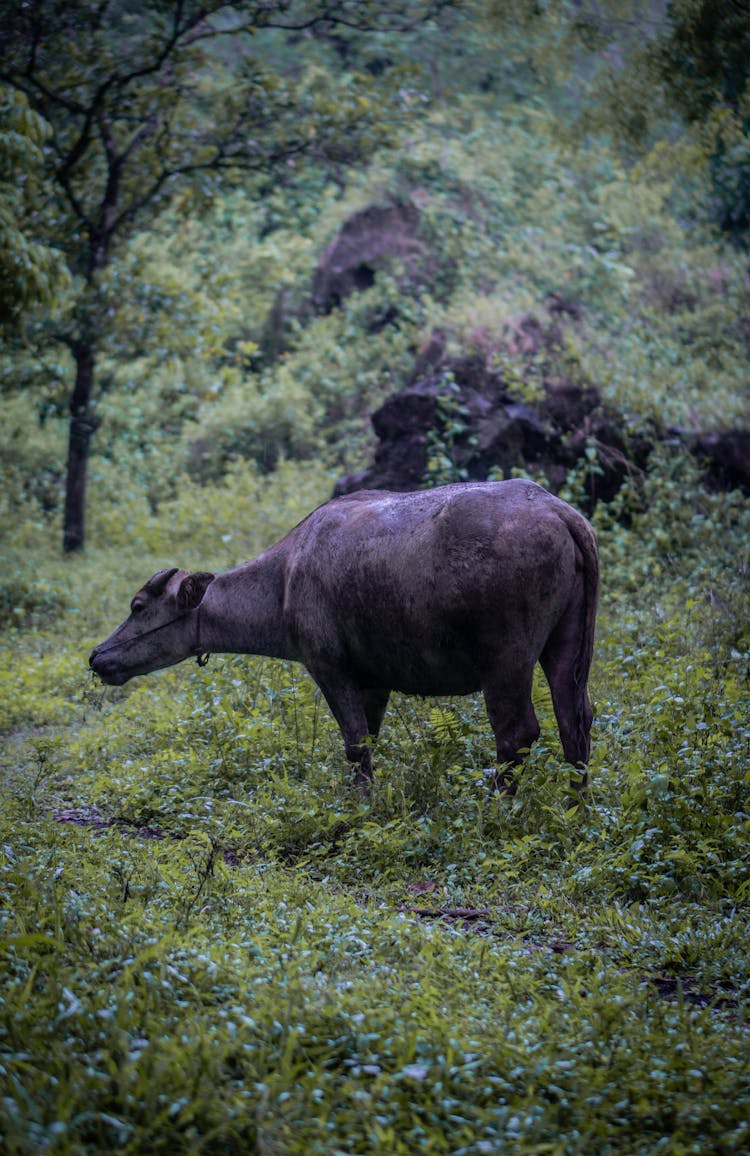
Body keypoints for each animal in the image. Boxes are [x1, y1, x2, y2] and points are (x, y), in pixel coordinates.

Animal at [88, 483, 596, 790]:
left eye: (138, 606)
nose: (97, 656)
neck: (283, 579)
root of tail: (558, 510)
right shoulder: (375, 680)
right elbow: (369, 737)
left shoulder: (329, 667)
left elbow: (354, 743)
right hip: (569, 648)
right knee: (576, 720)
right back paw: (577, 799)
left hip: (506, 660)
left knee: (517, 732)